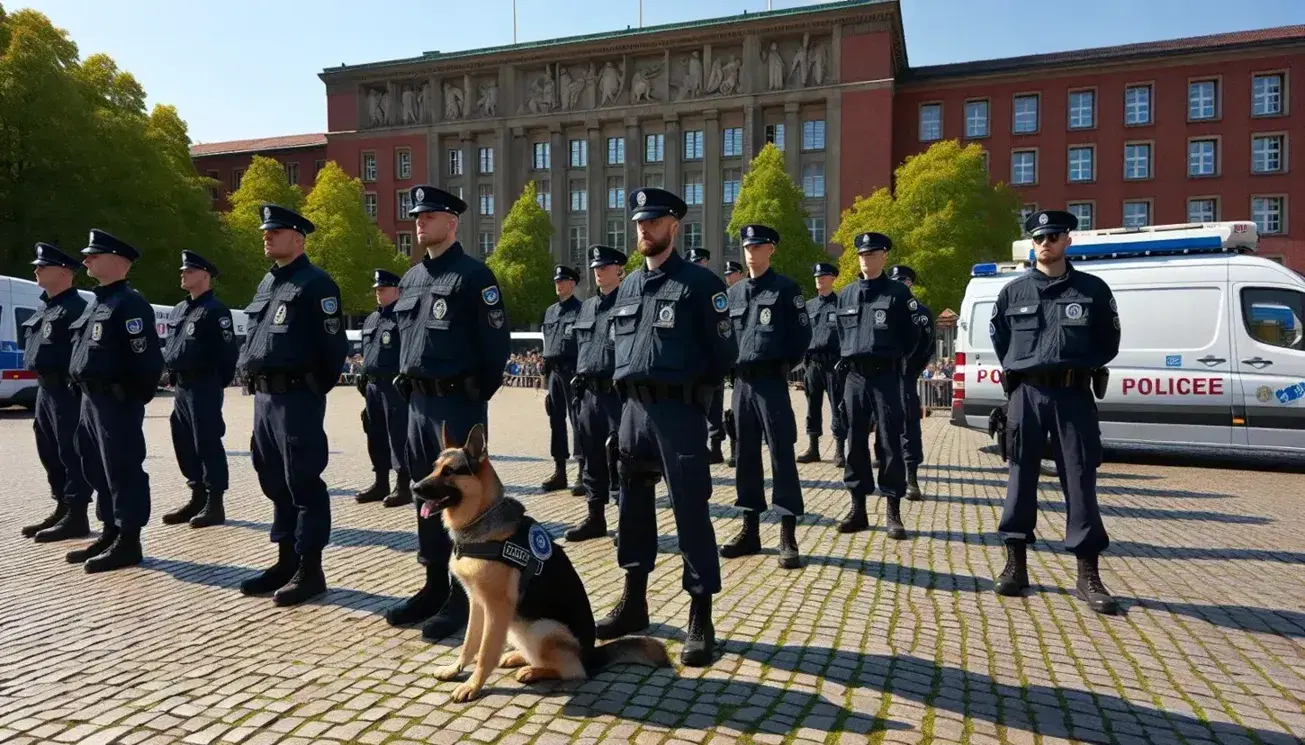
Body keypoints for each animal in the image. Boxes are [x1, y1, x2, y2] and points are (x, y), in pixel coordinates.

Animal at [412, 422, 668, 704]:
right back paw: (517, 657)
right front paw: (455, 669)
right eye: (434, 468)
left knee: (572, 671)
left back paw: (534, 671)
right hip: (517, 625)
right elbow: (469, 644)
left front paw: (473, 685)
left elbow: (485, 652)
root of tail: (591, 656)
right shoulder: (477, 603)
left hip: (541, 628)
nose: (415, 488)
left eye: (449, 471)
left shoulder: (496, 608)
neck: (481, 521)